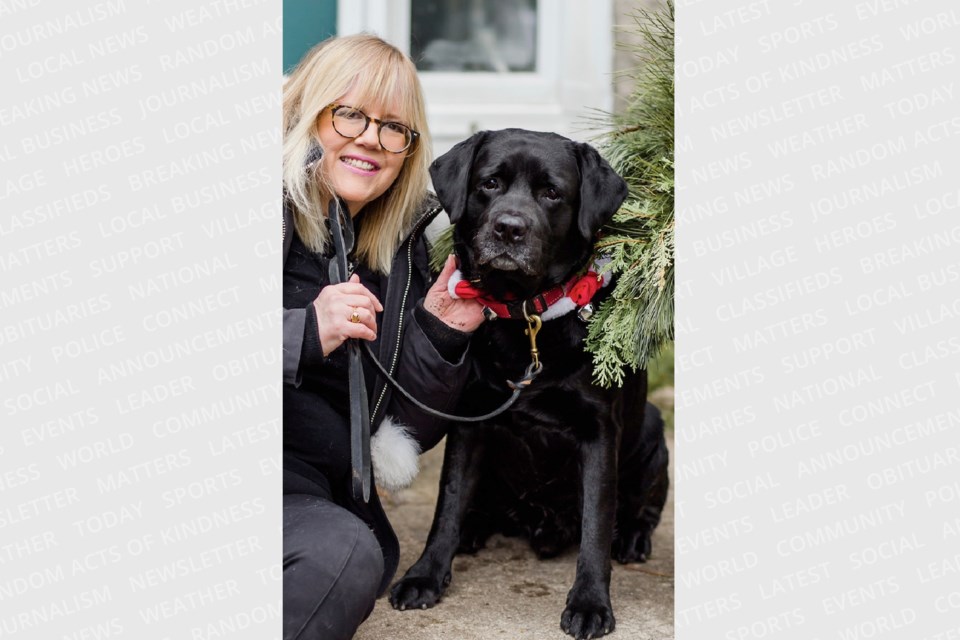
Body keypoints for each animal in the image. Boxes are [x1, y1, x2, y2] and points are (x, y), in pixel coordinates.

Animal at [388, 130, 668, 640]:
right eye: (490, 183)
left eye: (552, 193)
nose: (509, 229)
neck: (527, 318)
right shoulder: (470, 418)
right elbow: (447, 504)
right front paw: (425, 575)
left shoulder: (599, 432)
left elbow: (597, 524)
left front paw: (590, 603)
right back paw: (474, 528)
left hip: (654, 433)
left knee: (643, 507)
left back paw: (634, 539)